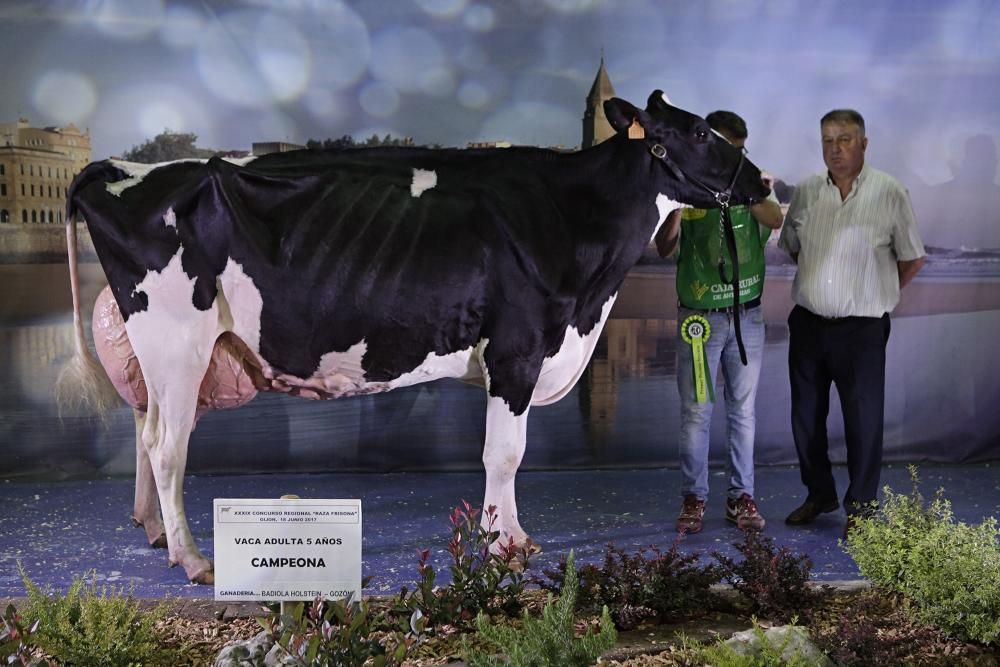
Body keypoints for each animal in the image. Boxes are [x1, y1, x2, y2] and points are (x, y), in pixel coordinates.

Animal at [60, 92, 764, 584]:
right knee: (165, 447)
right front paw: (505, 546)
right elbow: (504, 454)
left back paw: (154, 532)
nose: (760, 183)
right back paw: (193, 559)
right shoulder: (518, 349)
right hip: (177, 343)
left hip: (162, 354)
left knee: (145, 427)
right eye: (699, 132)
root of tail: (126, 166)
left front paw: (513, 538)